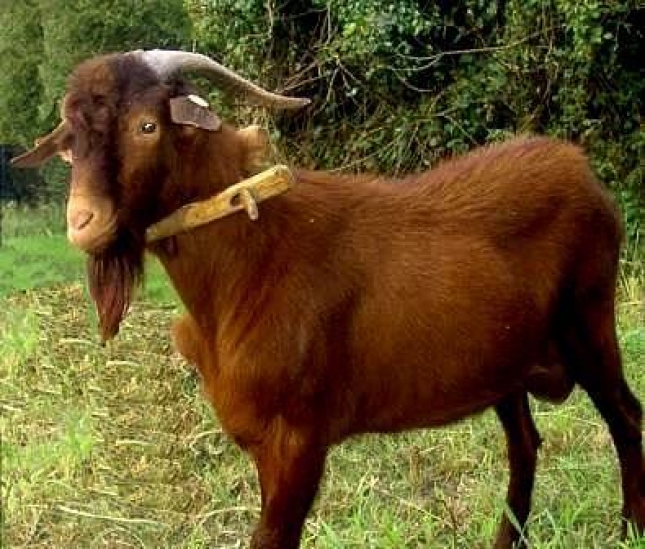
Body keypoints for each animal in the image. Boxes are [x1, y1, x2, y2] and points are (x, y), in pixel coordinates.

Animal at [13, 49, 644, 549]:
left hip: (589, 318)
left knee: (625, 415)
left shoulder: (298, 438)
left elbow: (273, 537)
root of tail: (582, 169)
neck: (251, 251)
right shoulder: (265, 443)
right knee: (525, 444)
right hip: (505, 363)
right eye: (69, 144)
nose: (83, 223)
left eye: (147, 126)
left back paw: (630, 530)